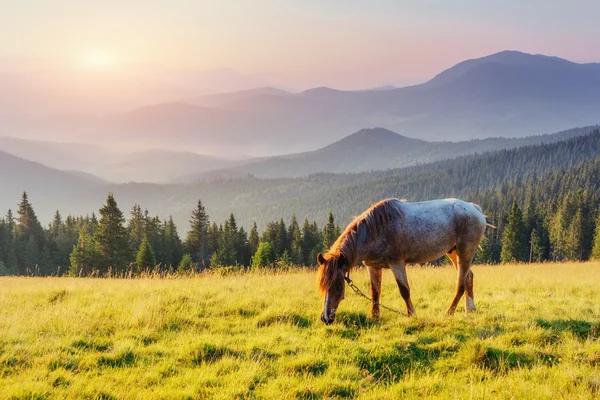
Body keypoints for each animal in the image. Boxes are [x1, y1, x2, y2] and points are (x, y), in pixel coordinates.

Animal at [316, 198, 486, 324]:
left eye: (339, 285)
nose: (326, 318)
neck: (376, 231)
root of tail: (474, 208)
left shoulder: (397, 263)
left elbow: (404, 290)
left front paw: (412, 314)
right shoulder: (373, 267)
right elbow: (375, 292)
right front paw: (374, 316)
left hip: (465, 253)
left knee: (461, 284)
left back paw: (449, 313)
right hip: (454, 253)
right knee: (469, 276)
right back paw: (470, 309)